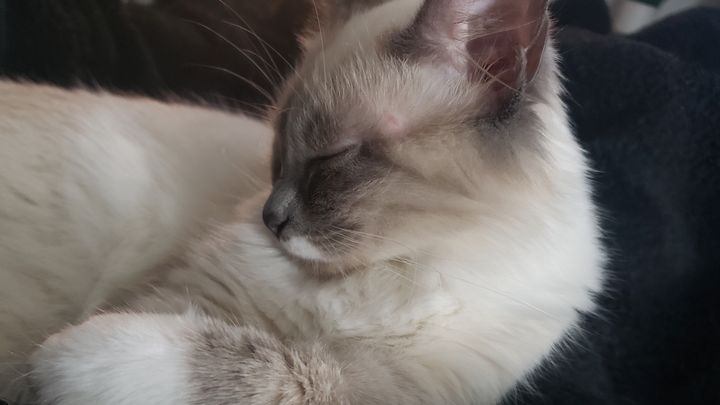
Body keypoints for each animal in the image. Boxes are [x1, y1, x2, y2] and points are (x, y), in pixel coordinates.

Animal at [1, 0, 604, 403]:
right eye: (277, 157)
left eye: (329, 158)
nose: (272, 218)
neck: (413, 266)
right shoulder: (173, 293)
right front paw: (50, 361)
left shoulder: (394, 391)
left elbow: (293, 372)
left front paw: (63, 360)